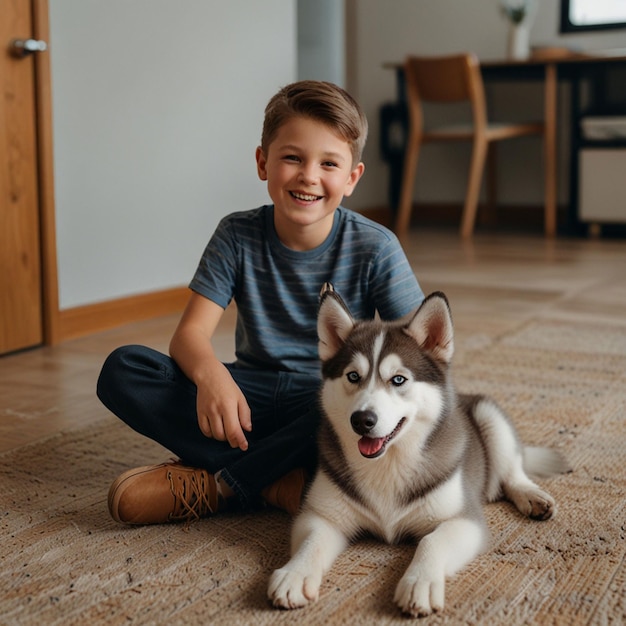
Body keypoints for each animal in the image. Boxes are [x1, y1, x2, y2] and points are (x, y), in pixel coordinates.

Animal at [268, 286, 564, 616]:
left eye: (398, 379)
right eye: (353, 376)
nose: (362, 420)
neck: (388, 463)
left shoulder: (463, 519)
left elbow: (431, 542)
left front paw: (420, 581)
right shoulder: (322, 514)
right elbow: (313, 541)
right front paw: (295, 573)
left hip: (489, 416)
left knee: (511, 472)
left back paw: (531, 495)